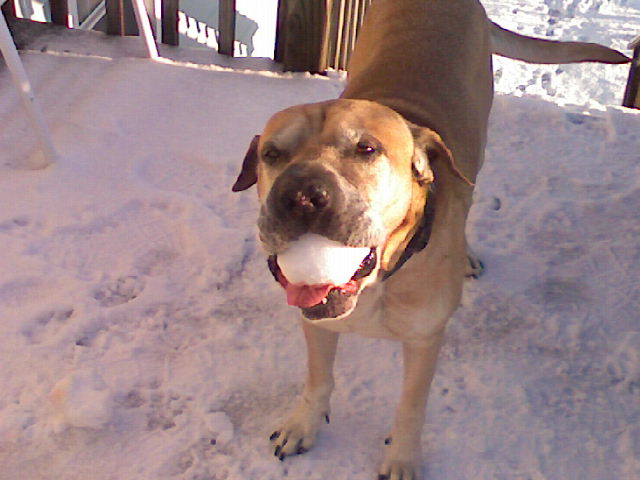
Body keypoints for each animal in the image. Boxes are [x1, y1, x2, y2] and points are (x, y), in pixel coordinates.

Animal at [232, 1, 628, 478]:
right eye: (272, 154)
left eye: (366, 149)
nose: (302, 196)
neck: (380, 280)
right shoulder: (317, 321)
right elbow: (318, 377)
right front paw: (303, 423)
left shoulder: (425, 339)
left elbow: (411, 407)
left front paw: (402, 456)